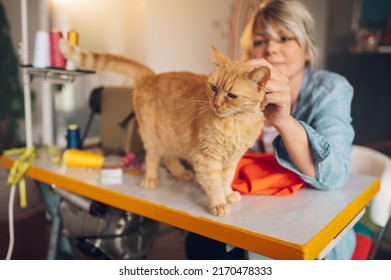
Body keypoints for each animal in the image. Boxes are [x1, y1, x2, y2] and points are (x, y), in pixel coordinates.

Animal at [60, 41, 270, 217]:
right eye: (214, 88)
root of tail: (152, 75)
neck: (236, 123)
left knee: (168, 156)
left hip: (172, 136)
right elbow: (214, 182)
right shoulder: (206, 158)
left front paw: (227, 194)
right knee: (153, 158)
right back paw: (151, 179)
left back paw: (181, 173)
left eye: (232, 95)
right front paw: (219, 203)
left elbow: (226, 179)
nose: (216, 104)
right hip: (151, 135)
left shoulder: (231, 160)